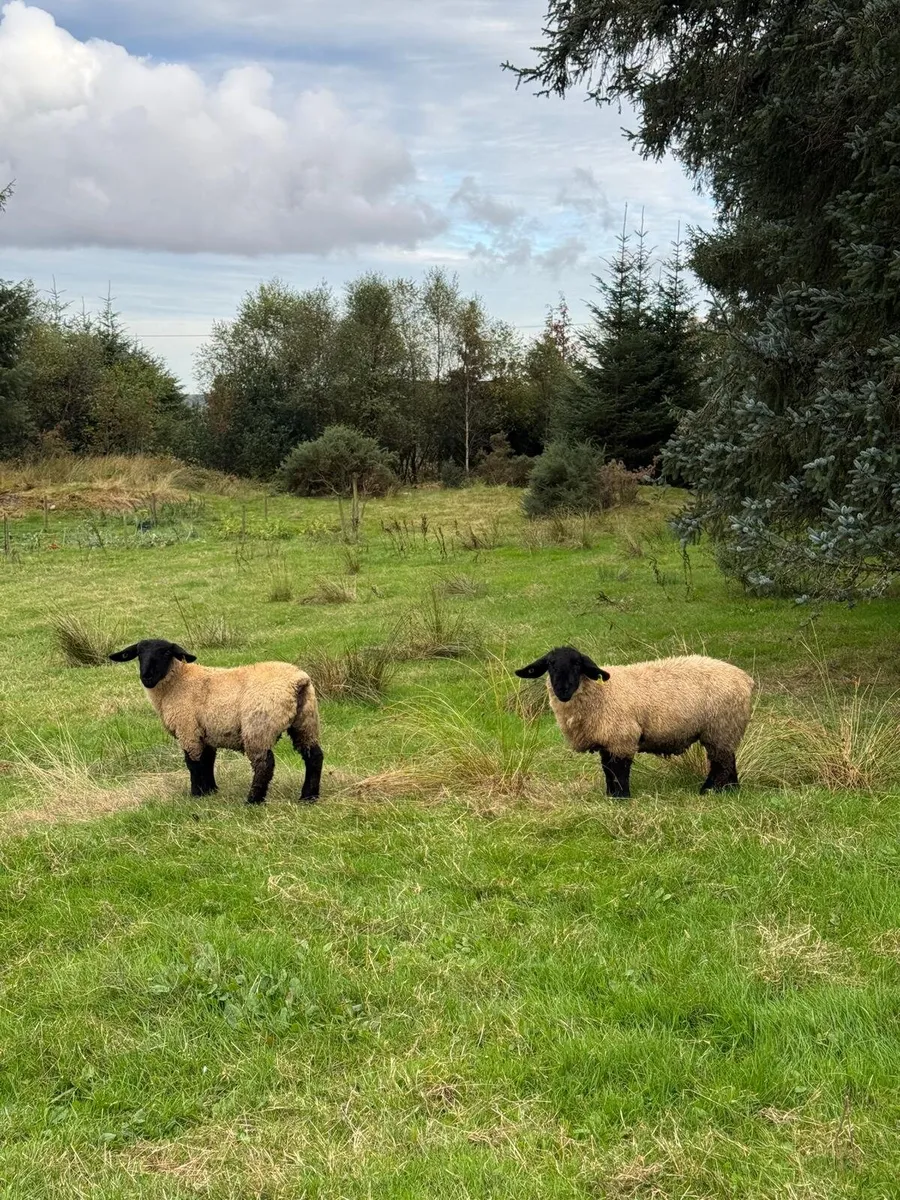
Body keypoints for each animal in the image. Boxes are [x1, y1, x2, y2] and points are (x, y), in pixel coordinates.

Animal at [109, 638, 323, 805]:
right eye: (139, 653)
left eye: (166, 652)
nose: (147, 677)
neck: (177, 682)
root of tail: (298, 681)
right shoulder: (206, 732)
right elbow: (208, 761)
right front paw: (211, 790)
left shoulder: (188, 729)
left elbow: (194, 763)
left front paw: (197, 794)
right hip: (306, 722)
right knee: (314, 756)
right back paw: (308, 797)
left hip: (258, 726)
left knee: (264, 764)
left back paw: (253, 801)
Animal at [515, 645, 753, 799]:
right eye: (550, 665)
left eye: (577, 665)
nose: (562, 690)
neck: (601, 693)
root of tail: (745, 678)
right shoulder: (607, 741)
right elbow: (607, 770)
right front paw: (610, 796)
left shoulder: (622, 738)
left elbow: (619, 771)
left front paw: (622, 797)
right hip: (726, 730)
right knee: (728, 761)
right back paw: (732, 790)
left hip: (721, 727)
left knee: (720, 763)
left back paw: (709, 790)